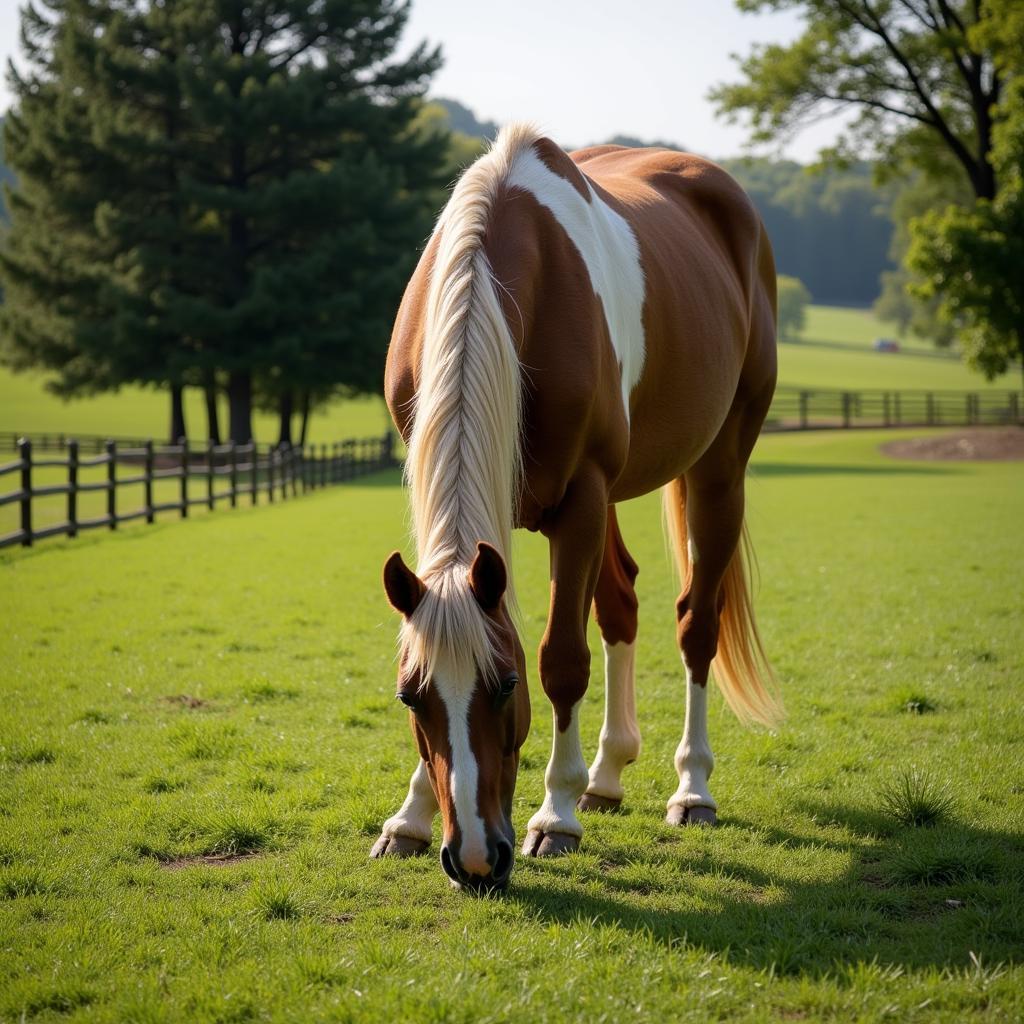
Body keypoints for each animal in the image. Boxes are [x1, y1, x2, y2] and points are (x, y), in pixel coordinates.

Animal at [376, 117, 782, 888]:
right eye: (411, 697)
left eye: (505, 685)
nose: (474, 859)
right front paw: (409, 818)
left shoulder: (582, 499)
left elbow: (562, 659)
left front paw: (554, 816)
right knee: (621, 603)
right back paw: (608, 775)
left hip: (718, 472)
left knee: (697, 625)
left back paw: (691, 789)